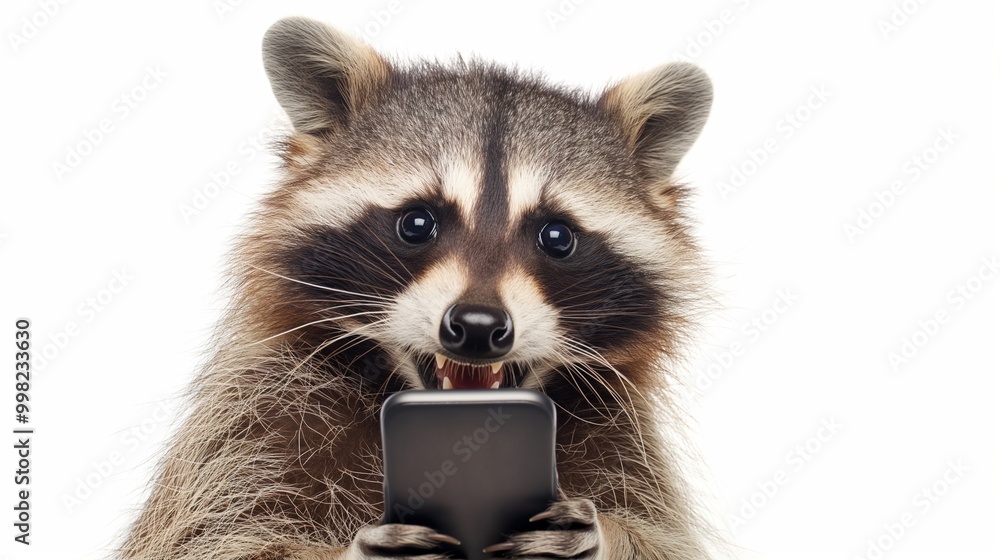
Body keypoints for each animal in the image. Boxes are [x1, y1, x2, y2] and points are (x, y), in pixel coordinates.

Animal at [117, 16, 714, 560]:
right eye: (417, 223)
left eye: (557, 237)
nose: (478, 326)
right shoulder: (250, 424)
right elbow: (212, 540)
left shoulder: (625, 447)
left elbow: (662, 537)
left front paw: (601, 533)